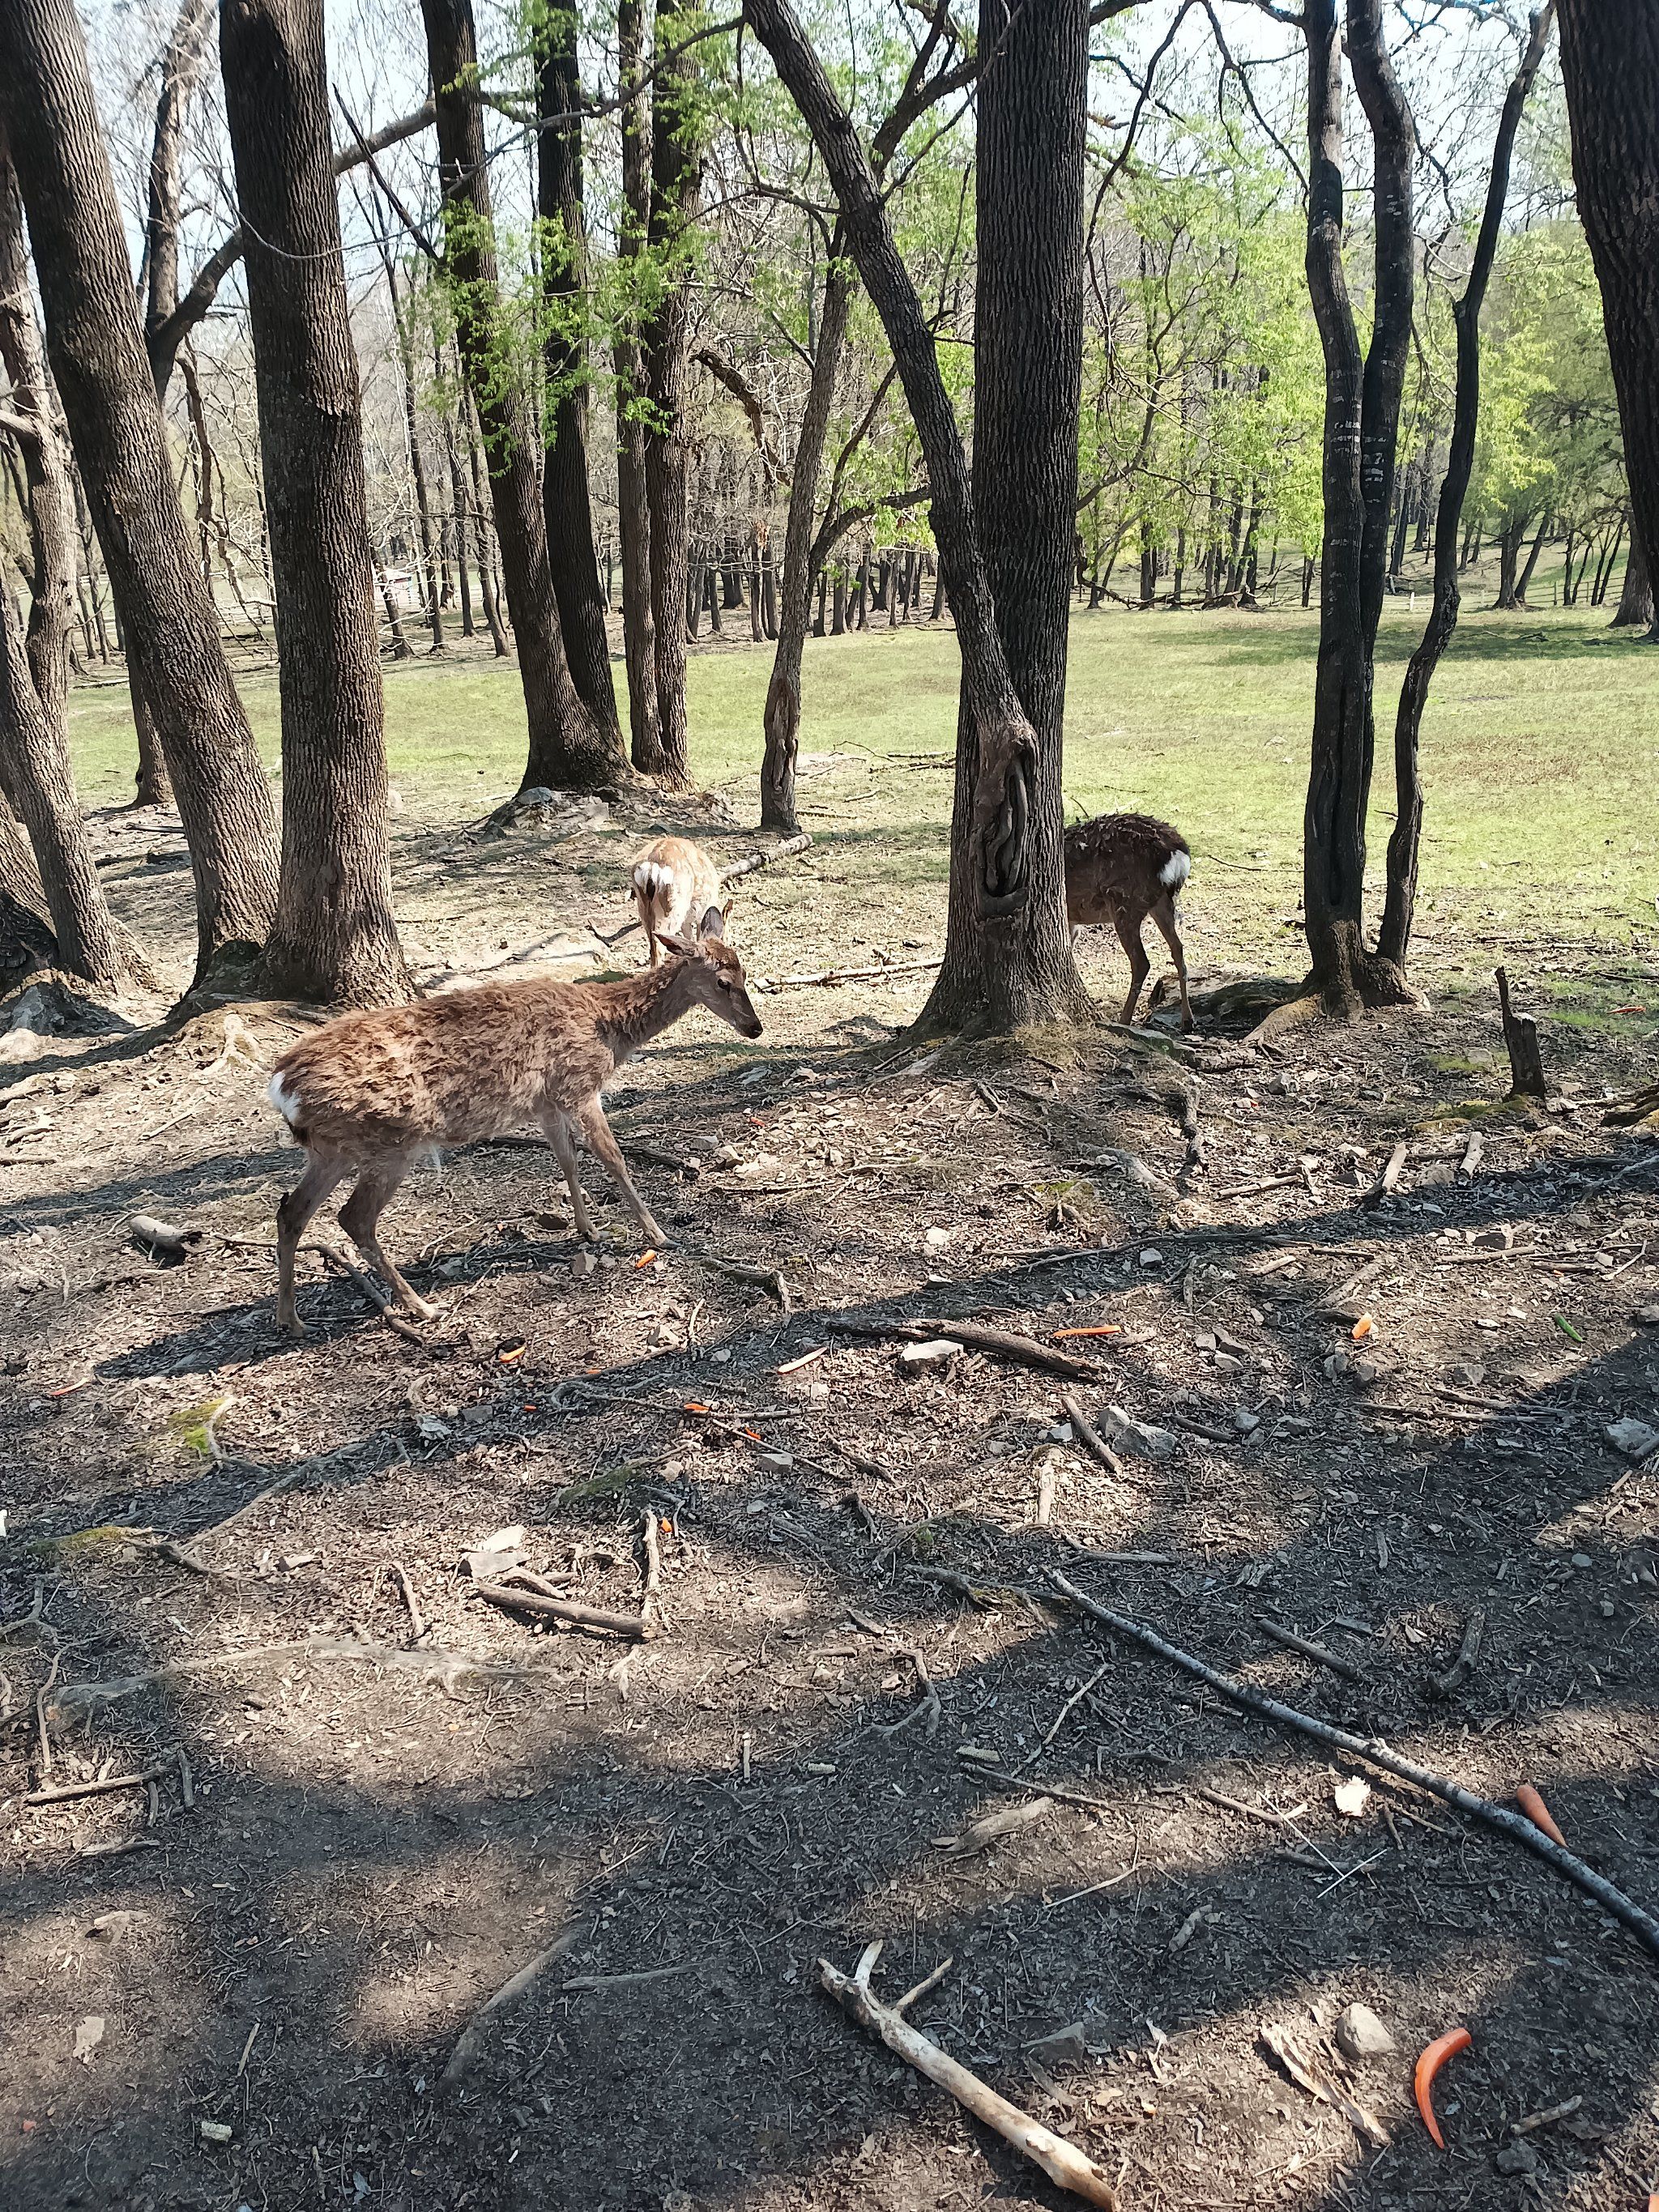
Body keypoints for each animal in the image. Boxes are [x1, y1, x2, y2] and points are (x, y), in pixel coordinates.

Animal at [266, 912, 761, 1336]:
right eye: (722, 981)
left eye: (744, 971)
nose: (754, 1028)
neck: (608, 1028)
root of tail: (281, 1087)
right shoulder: (579, 1086)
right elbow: (613, 1158)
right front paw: (658, 1234)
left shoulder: (546, 1103)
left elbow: (568, 1161)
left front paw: (589, 1229)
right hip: (388, 1144)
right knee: (354, 1217)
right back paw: (422, 1306)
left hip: (331, 1150)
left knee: (292, 1211)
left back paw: (291, 1318)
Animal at [629, 836, 731, 966]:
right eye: (726, 935)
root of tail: (652, 867)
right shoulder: (701, 913)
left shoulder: (686, 920)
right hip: (673, 907)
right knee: (659, 944)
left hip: (643, 906)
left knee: (652, 945)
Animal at [1064, 811, 1194, 1031]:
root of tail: (1177, 853)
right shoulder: (1072, 919)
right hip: (1162, 902)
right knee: (1178, 949)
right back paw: (1187, 1020)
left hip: (1125, 901)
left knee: (1141, 961)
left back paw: (1124, 1020)